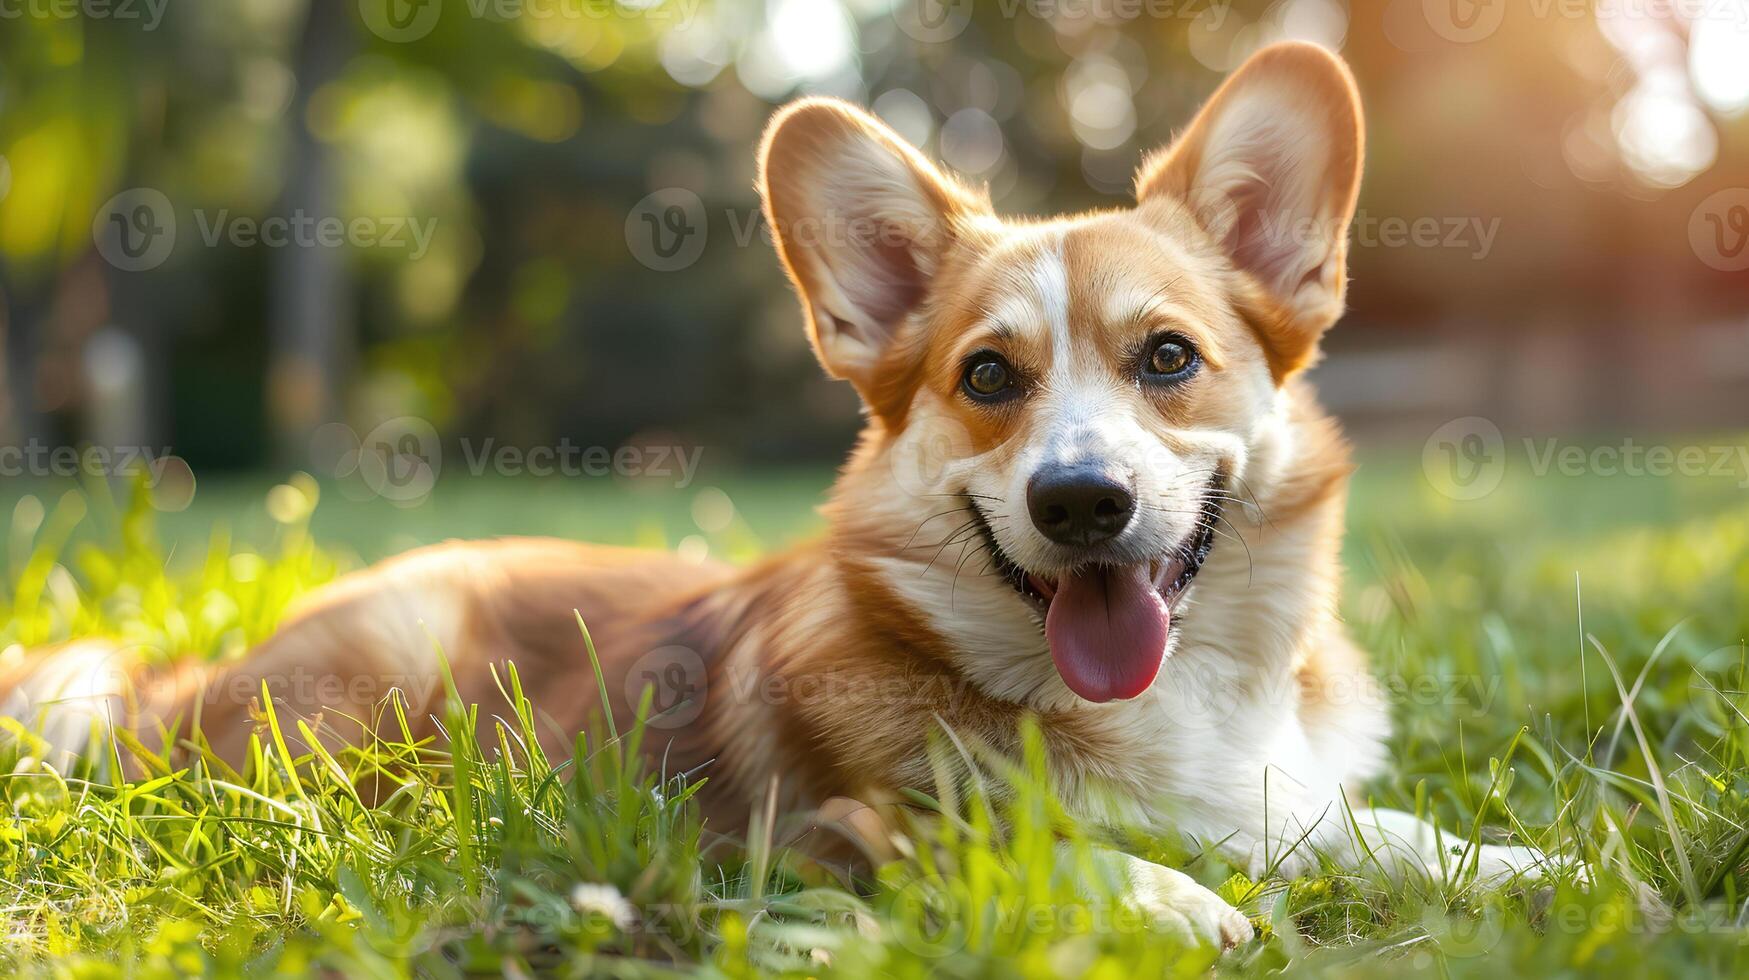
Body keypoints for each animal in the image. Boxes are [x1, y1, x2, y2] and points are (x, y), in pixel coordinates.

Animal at [6, 43, 1553, 952]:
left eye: (1167, 358)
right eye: (989, 375)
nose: (1081, 505)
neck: (1171, 708)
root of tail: (193, 673)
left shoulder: (1287, 791)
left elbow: (1376, 829)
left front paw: (1515, 863)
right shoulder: (834, 838)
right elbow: (1021, 852)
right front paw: (1177, 901)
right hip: (375, 681)